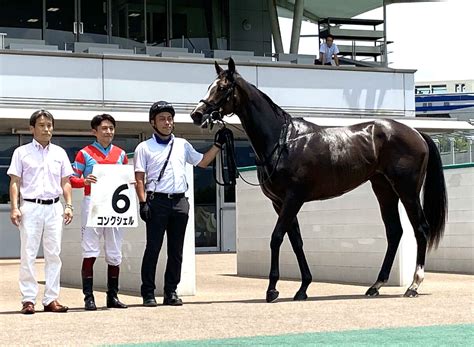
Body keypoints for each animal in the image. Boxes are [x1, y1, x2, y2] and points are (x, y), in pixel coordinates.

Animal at [191, 58, 446, 304]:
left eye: (222, 87)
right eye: (210, 85)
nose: (197, 114)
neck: (283, 140)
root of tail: (416, 133)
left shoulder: (293, 199)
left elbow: (276, 238)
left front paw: (272, 290)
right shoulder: (280, 203)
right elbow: (296, 241)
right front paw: (303, 288)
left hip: (407, 191)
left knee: (420, 228)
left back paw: (413, 286)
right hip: (384, 190)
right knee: (394, 232)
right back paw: (376, 285)